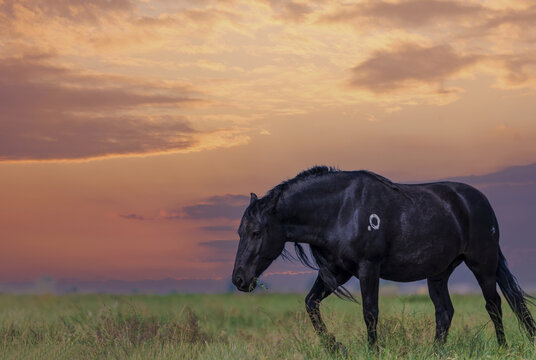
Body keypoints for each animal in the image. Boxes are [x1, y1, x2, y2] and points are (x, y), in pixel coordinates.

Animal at [232, 167, 532, 352]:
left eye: (257, 232)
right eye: (240, 232)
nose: (239, 280)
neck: (341, 211)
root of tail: (479, 202)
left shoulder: (369, 268)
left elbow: (370, 312)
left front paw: (372, 350)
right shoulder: (337, 272)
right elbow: (311, 304)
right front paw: (336, 347)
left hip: (482, 265)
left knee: (494, 305)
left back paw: (503, 348)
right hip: (438, 273)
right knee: (445, 312)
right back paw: (435, 352)